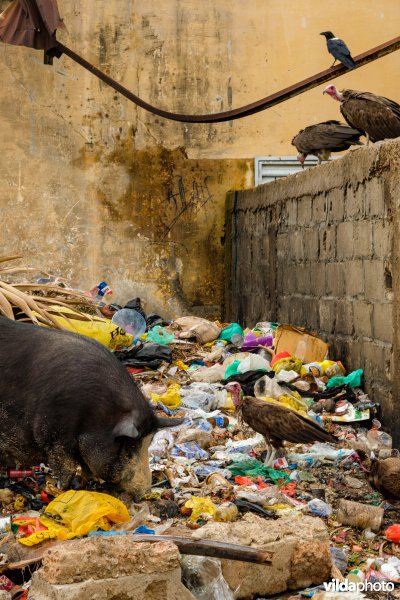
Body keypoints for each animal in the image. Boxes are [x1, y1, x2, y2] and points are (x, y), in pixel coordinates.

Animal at [0, 318, 180, 496]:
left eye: (148, 443)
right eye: (129, 451)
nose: (145, 492)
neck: (97, 414)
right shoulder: (53, 435)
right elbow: (65, 468)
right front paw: (65, 490)